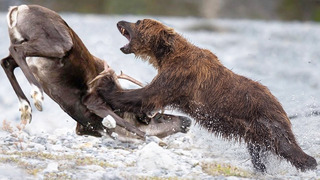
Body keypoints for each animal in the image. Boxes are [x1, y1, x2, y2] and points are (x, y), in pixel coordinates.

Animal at [97, 19, 318, 172]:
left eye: (138, 22)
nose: (120, 21)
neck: (166, 55)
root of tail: (278, 103)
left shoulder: (178, 75)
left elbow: (147, 94)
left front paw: (106, 87)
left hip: (267, 121)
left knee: (287, 147)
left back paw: (310, 163)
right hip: (256, 132)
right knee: (259, 151)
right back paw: (261, 168)